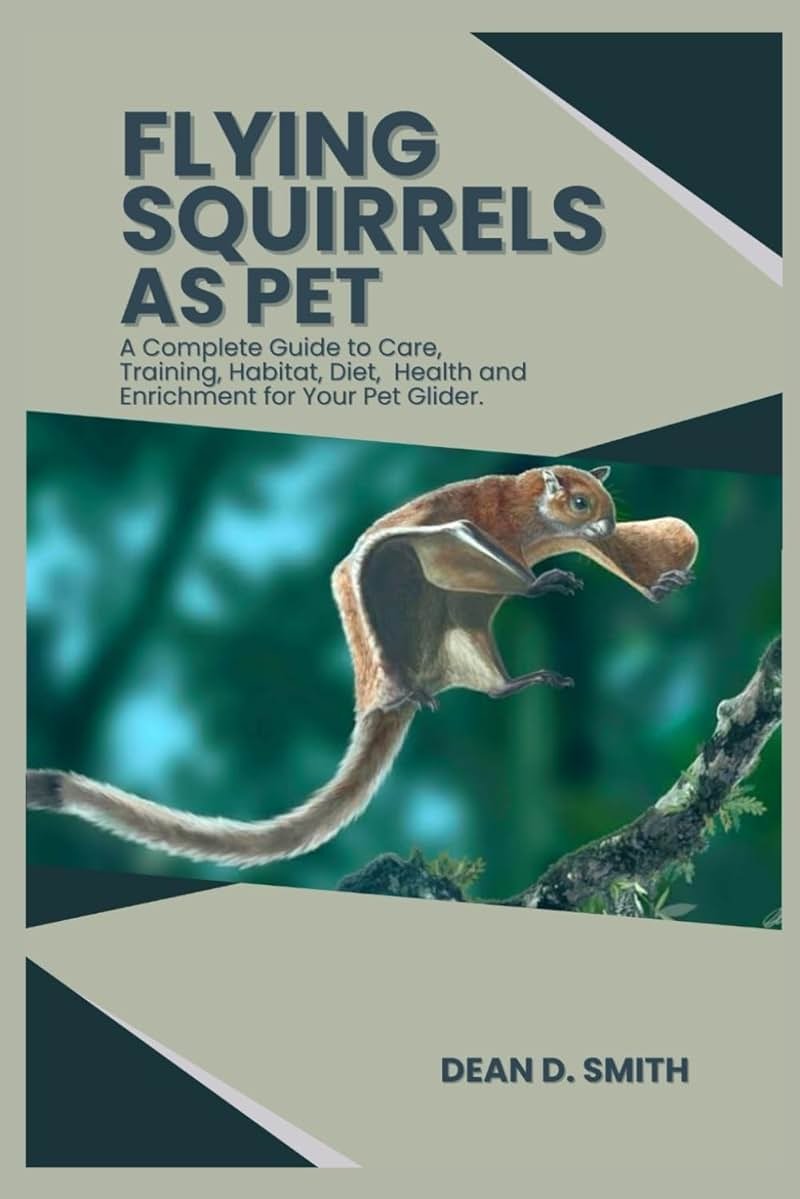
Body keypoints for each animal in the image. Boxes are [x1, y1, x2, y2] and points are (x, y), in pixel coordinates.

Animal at [26, 464, 698, 866]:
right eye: (581, 500)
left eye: (606, 504)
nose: (605, 524)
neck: (527, 515)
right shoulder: (472, 528)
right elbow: (476, 545)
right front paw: (542, 584)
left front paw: (657, 583)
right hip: (394, 612)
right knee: (405, 574)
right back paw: (417, 689)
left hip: (463, 634)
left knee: (492, 682)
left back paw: (512, 681)